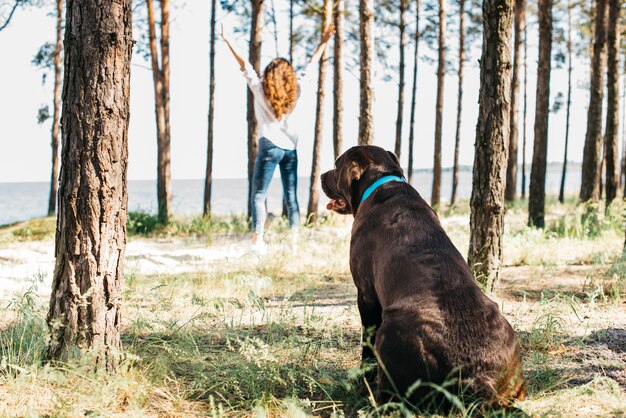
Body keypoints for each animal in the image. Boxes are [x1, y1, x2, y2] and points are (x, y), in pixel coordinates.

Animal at [320, 145, 524, 410]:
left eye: (336, 165)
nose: (321, 176)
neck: (382, 181)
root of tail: (476, 379)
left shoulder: (366, 294)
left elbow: (366, 346)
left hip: (389, 328)